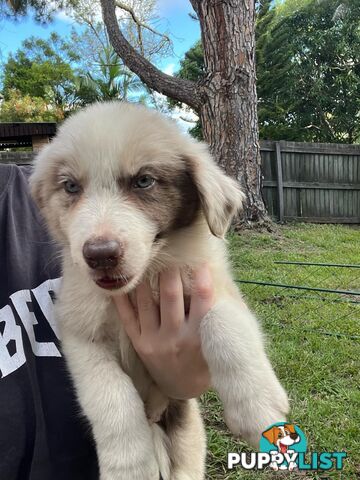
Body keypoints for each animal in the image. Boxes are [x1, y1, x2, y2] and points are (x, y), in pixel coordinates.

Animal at [28, 102, 290, 480]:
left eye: (143, 181)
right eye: (71, 187)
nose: (100, 255)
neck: (145, 277)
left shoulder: (215, 287)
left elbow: (225, 326)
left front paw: (258, 410)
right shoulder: (80, 334)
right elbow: (111, 396)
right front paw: (128, 465)